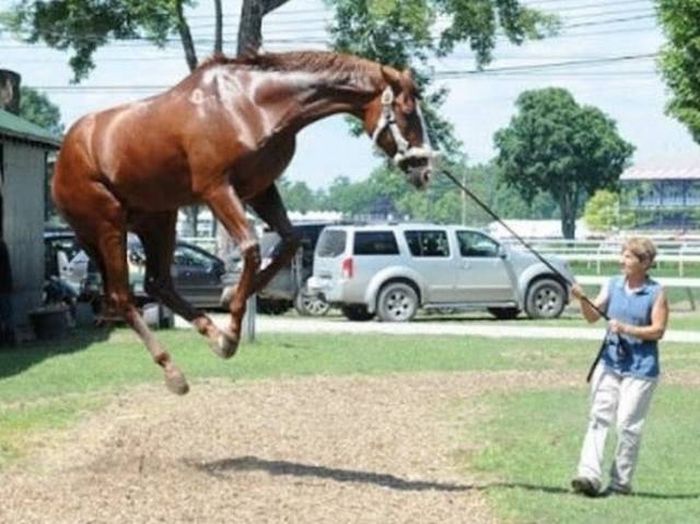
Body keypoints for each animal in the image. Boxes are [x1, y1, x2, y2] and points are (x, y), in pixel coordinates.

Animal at [54, 51, 434, 396]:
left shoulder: (260, 189)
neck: (248, 104)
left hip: (158, 220)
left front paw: (237, 303)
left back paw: (213, 336)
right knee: (121, 296)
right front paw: (234, 324)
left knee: (158, 283)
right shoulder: (217, 189)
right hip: (109, 227)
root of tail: (63, 158)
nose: (425, 169)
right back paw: (174, 370)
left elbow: (289, 242)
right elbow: (251, 247)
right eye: (406, 110)